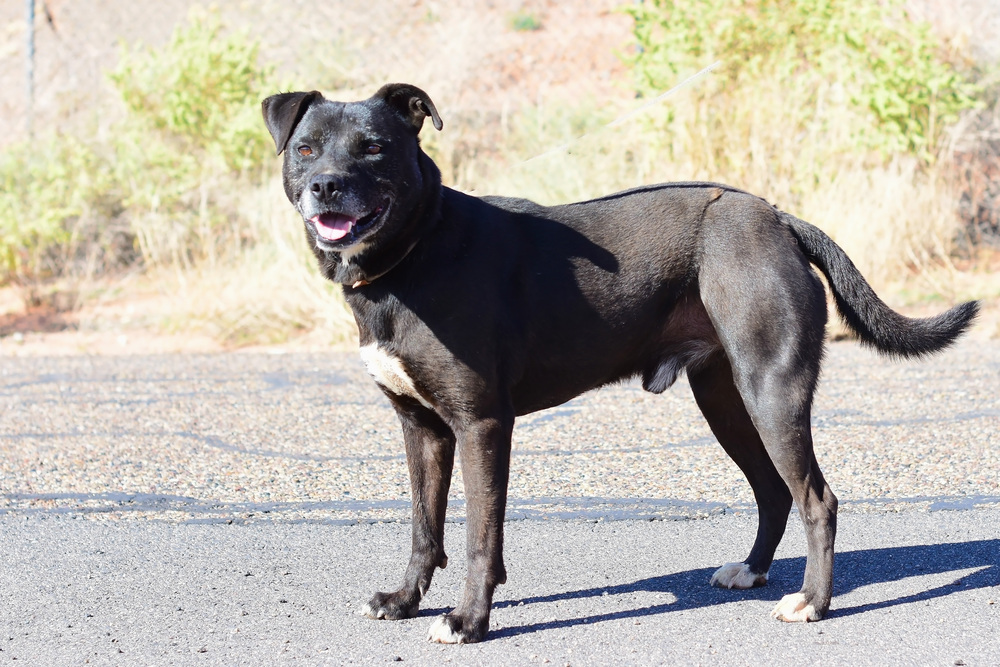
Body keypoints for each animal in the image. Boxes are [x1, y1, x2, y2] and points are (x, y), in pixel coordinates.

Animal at [262, 83, 980, 640]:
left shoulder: (481, 424)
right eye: (306, 148)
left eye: (374, 147)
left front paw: (469, 620)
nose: (326, 186)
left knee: (817, 498)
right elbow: (423, 527)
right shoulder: (422, 429)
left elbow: (477, 535)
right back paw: (751, 570)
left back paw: (812, 602)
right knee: (774, 489)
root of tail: (777, 216)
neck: (417, 249)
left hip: (771, 388)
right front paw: (404, 600)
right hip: (725, 398)